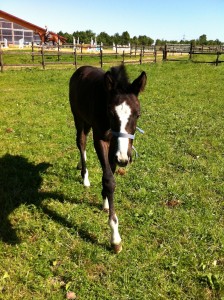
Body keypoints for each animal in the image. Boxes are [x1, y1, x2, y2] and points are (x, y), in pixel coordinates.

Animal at [70, 65, 147, 253]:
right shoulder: (101, 139)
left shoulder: (115, 143)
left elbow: (110, 170)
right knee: (81, 142)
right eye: (111, 113)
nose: (124, 159)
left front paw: (105, 200)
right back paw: (85, 177)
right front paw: (115, 238)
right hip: (78, 118)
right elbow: (109, 180)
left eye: (138, 114)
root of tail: (81, 69)